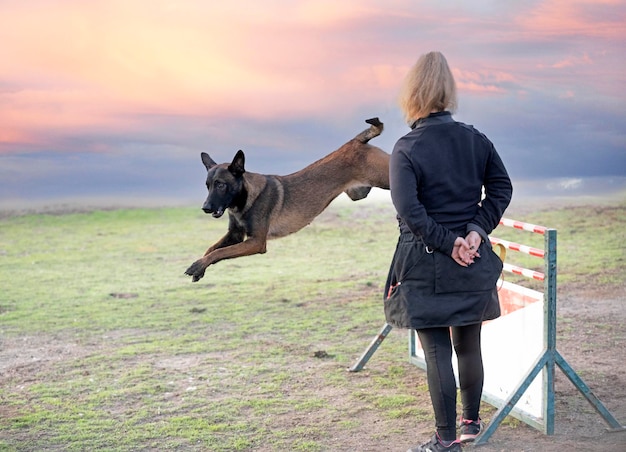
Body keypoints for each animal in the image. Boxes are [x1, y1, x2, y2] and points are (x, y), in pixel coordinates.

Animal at [183, 120, 388, 282]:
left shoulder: (256, 242)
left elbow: (220, 252)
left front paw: (198, 265)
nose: (205, 208)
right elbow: (211, 249)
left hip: (385, 177)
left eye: (221, 185)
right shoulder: (235, 236)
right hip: (358, 193)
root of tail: (356, 141)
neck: (244, 199)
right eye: (208, 185)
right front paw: (200, 267)